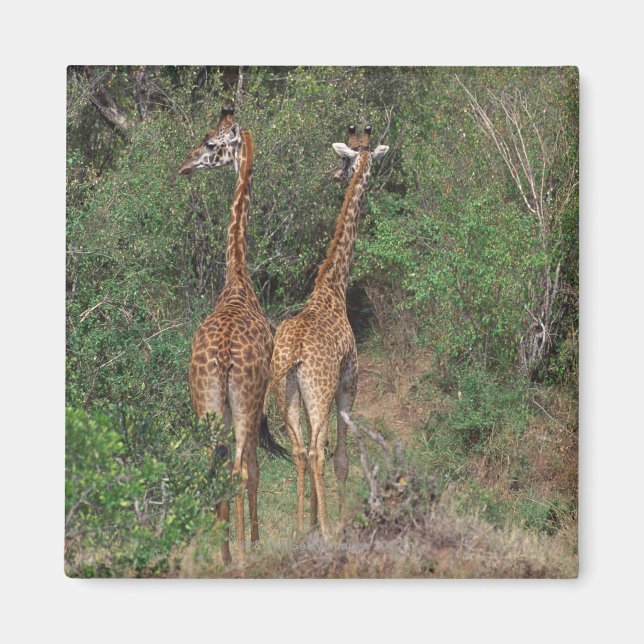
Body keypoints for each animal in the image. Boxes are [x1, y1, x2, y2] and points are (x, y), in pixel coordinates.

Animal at [264, 124, 389, 536]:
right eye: (348, 161)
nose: (335, 175)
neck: (332, 287)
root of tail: (294, 355)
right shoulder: (349, 382)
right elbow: (342, 458)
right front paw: (339, 518)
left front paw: (316, 518)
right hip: (319, 392)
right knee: (318, 450)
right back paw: (328, 529)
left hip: (286, 394)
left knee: (300, 450)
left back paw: (303, 526)